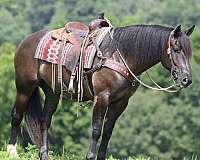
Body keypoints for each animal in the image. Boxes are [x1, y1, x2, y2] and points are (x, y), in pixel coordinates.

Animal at [7, 23, 195, 160]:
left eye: (189, 52)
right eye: (177, 49)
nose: (186, 79)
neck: (119, 56)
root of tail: (26, 41)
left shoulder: (120, 103)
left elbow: (108, 132)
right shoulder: (102, 98)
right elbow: (97, 129)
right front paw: (90, 156)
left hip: (52, 92)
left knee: (45, 120)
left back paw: (44, 154)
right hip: (24, 87)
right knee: (17, 115)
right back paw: (11, 152)